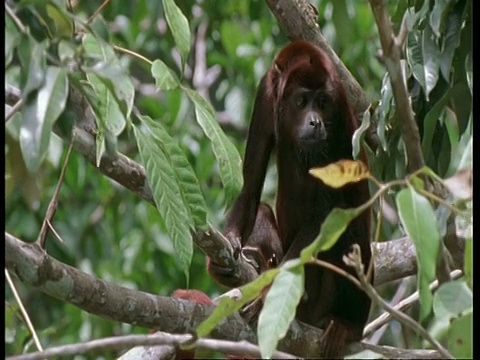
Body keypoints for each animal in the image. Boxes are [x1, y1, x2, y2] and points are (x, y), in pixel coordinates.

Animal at [223, 40, 374, 358]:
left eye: (323, 102)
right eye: (302, 101)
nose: (316, 122)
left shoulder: (340, 113)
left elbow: (326, 217)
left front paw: (269, 291)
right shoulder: (265, 94)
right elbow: (251, 185)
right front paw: (223, 261)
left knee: (350, 232)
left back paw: (346, 325)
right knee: (263, 210)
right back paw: (261, 262)